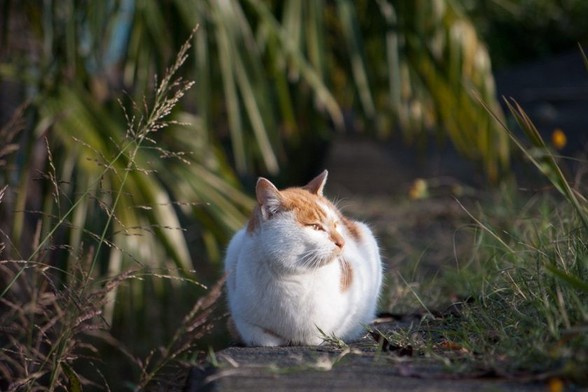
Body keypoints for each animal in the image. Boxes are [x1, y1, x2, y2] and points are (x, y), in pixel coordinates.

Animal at [224, 172, 382, 346]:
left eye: (335, 224)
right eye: (315, 227)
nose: (342, 242)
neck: (290, 276)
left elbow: (316, 335)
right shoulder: (243, 320)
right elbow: (262, 337)